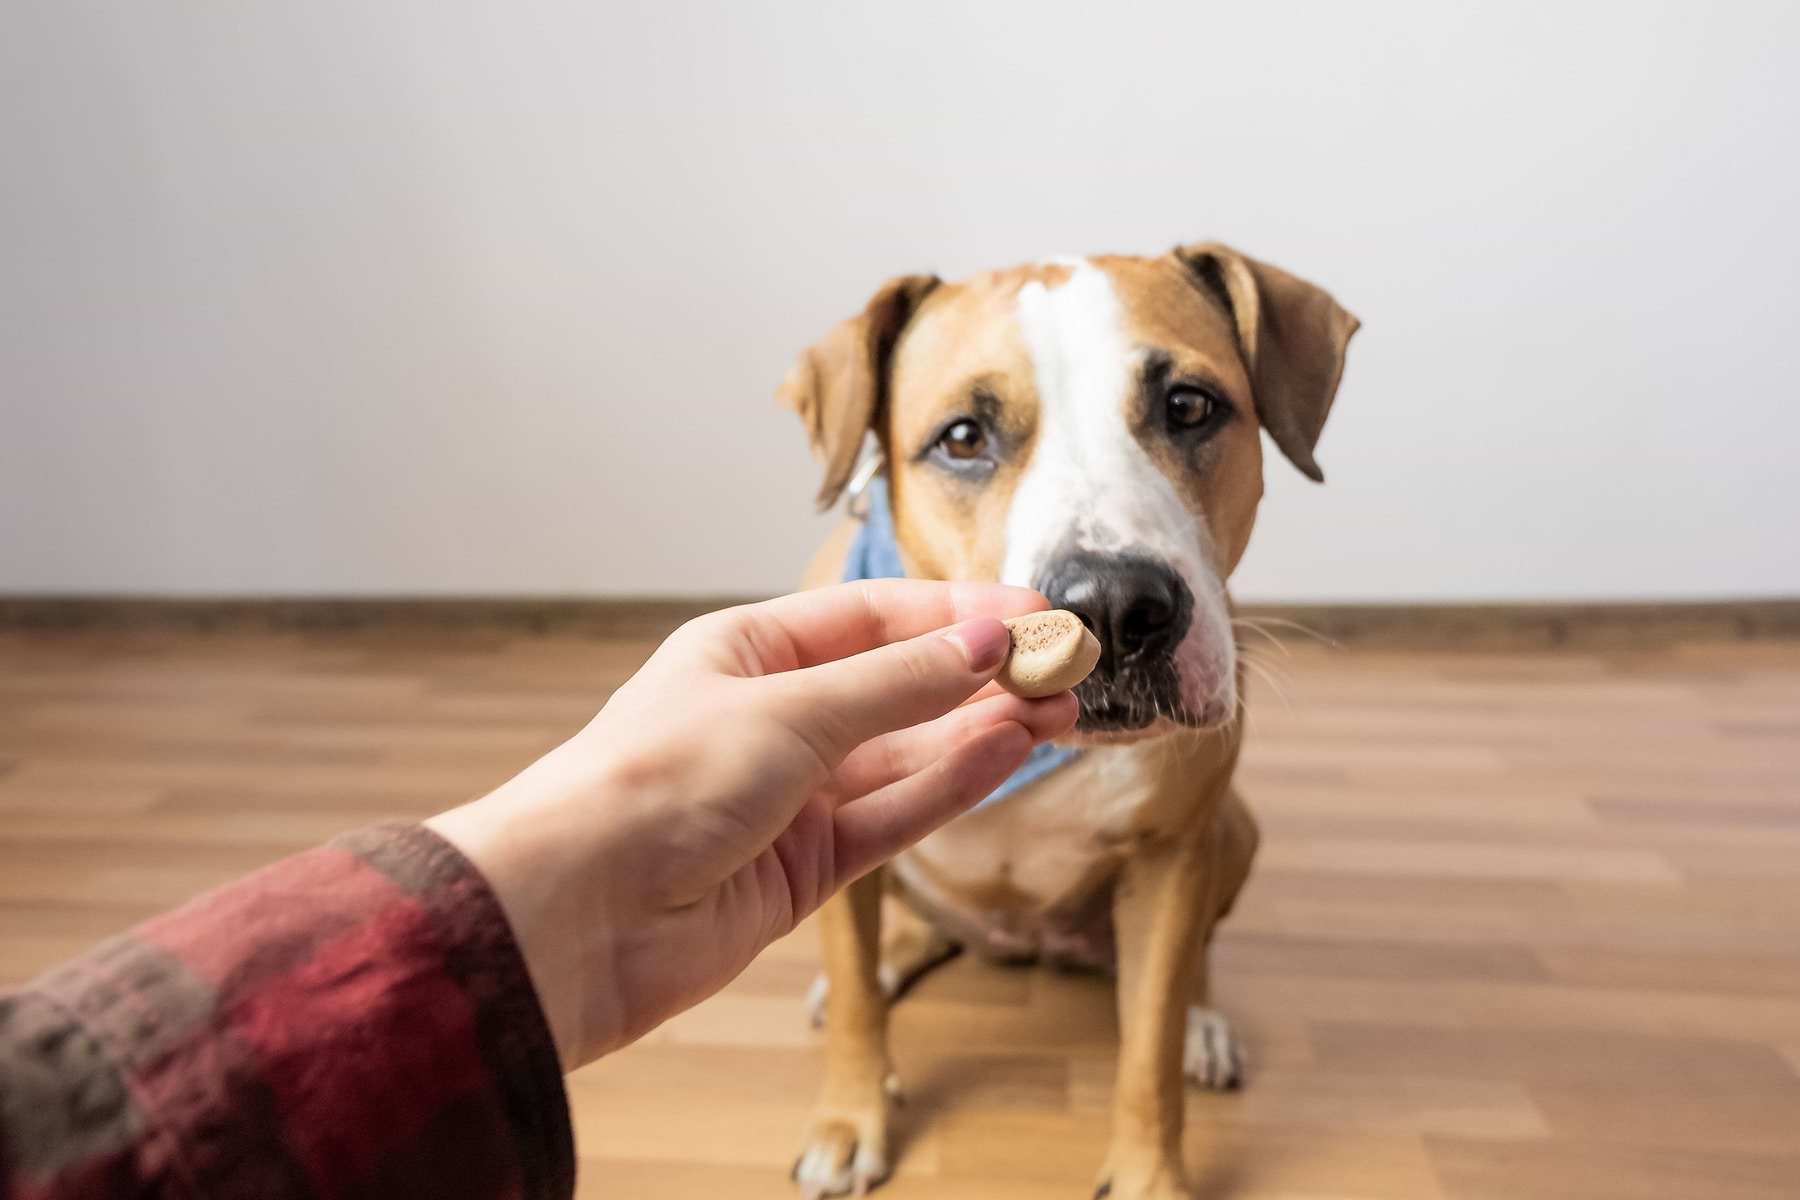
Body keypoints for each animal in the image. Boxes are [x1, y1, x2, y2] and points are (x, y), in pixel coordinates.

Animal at [781, 244, 1353, 1200]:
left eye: (1189, 406)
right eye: (962, 438)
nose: (1116, 607)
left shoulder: (1170, 854)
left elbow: (1149, 1042)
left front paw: (1151, 1175)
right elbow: (859, 995)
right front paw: (848, 1120)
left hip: (1232, 831)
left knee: (1192, 962)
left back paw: (1204, 1024)